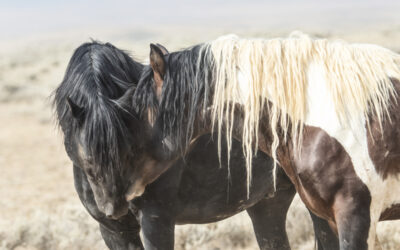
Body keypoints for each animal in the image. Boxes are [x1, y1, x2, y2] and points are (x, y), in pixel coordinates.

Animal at [54, 41, 338, 250]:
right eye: (89, 159)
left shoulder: (156, 222)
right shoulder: (114, 231)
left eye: (130, 149)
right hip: (268, 205)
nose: (114, 207)